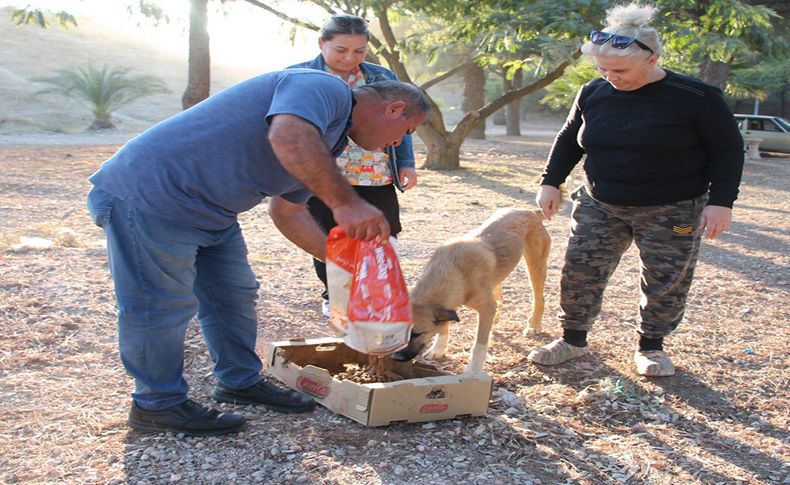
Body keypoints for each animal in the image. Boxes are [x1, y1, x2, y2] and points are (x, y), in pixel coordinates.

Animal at [392, 207, 552, 370]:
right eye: (394, 335)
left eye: (417, 334)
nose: (395, 358)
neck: (455, 269)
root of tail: (529, 211)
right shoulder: (450, 305)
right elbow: (444, 327)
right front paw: (438, 349)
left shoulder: (486, 308)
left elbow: (479, 346)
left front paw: (474, 370)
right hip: (497, 278)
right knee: (500, 298)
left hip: (535, 266)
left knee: (539, 299)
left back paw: (533, 325)